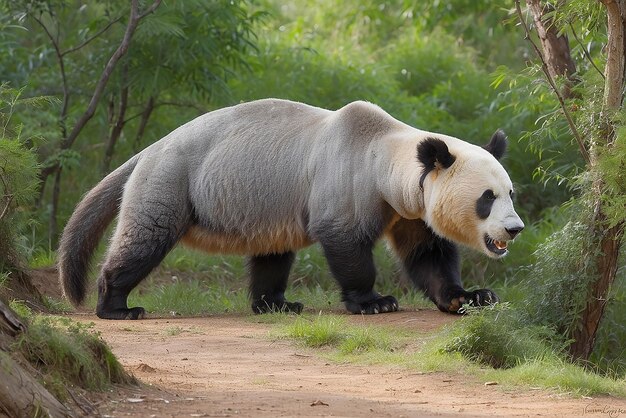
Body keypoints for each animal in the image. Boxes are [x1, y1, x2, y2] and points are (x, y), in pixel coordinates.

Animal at [58, 99, 524, 320]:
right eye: (487, 198)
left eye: (510, 192)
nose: (514, 229)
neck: (388, 154)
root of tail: (146, 151)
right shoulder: (348, 179)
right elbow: (344, 240)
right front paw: (375, 301)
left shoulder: (408, 208)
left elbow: (428, 256)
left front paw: (471, 297)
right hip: (172, 179)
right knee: (146, 237)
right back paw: (116, 305)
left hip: (260, 202)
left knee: (272, 254)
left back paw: (276, 304)